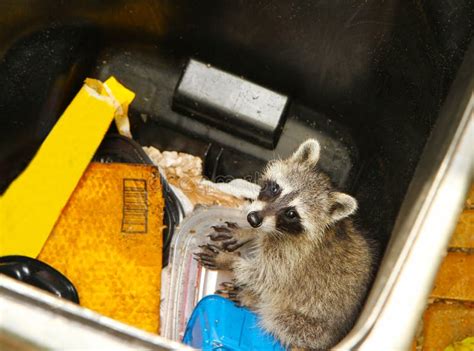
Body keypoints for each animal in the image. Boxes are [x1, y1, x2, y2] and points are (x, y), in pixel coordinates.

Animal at [195, 139, 374, 350]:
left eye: (291, 213)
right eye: (275, 189)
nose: (253, 219)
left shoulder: (291, 258)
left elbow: (264, 275)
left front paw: (228, 260)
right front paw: (248, 232)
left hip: (309, 326)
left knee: (276, 318)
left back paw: (252, 299)